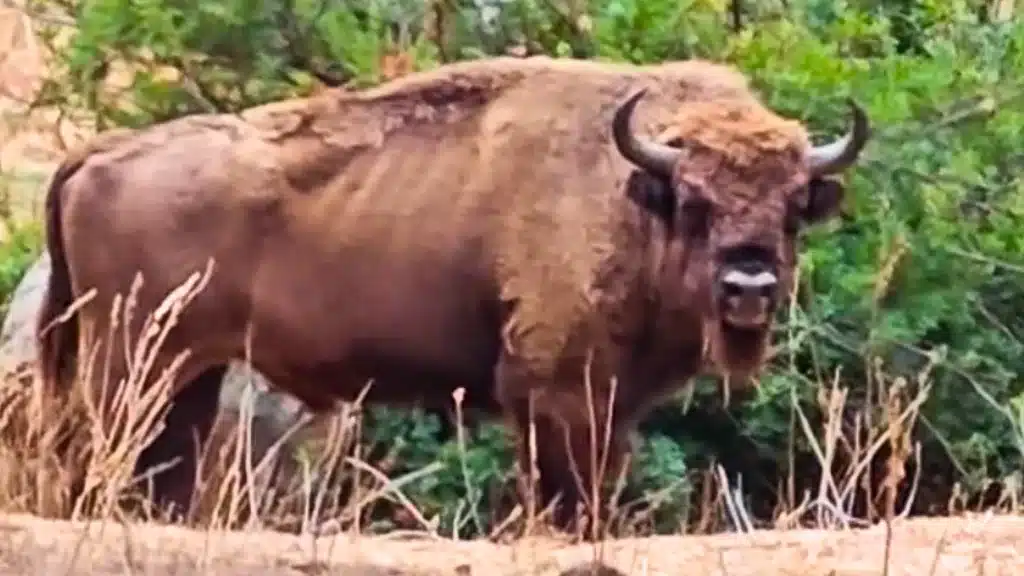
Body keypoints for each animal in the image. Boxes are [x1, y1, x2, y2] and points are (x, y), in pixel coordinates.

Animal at [41, 56, 872, 532]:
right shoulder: (558, 394)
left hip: (187, 372)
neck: (632, 193)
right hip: (128, 362)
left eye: (793, 204)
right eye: (694, 202)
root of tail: (102, 152)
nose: (749, 284)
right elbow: (566, 493)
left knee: (164, 460)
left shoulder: (613, 404)